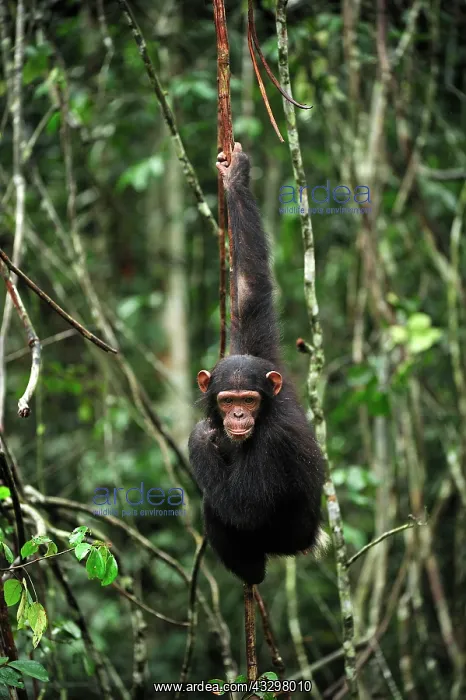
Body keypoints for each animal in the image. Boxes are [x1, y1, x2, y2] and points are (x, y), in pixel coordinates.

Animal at [188, 142, 326, 585]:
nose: (236, 416)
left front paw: (201, 438)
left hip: (285, 539)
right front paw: (236, 178)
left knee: (216, 506)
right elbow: (251, 287)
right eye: (227, 399)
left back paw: (252, 574)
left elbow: (243, 509)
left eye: (248, 400)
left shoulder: (275, 440)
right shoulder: (260, 352)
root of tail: (312, 540)